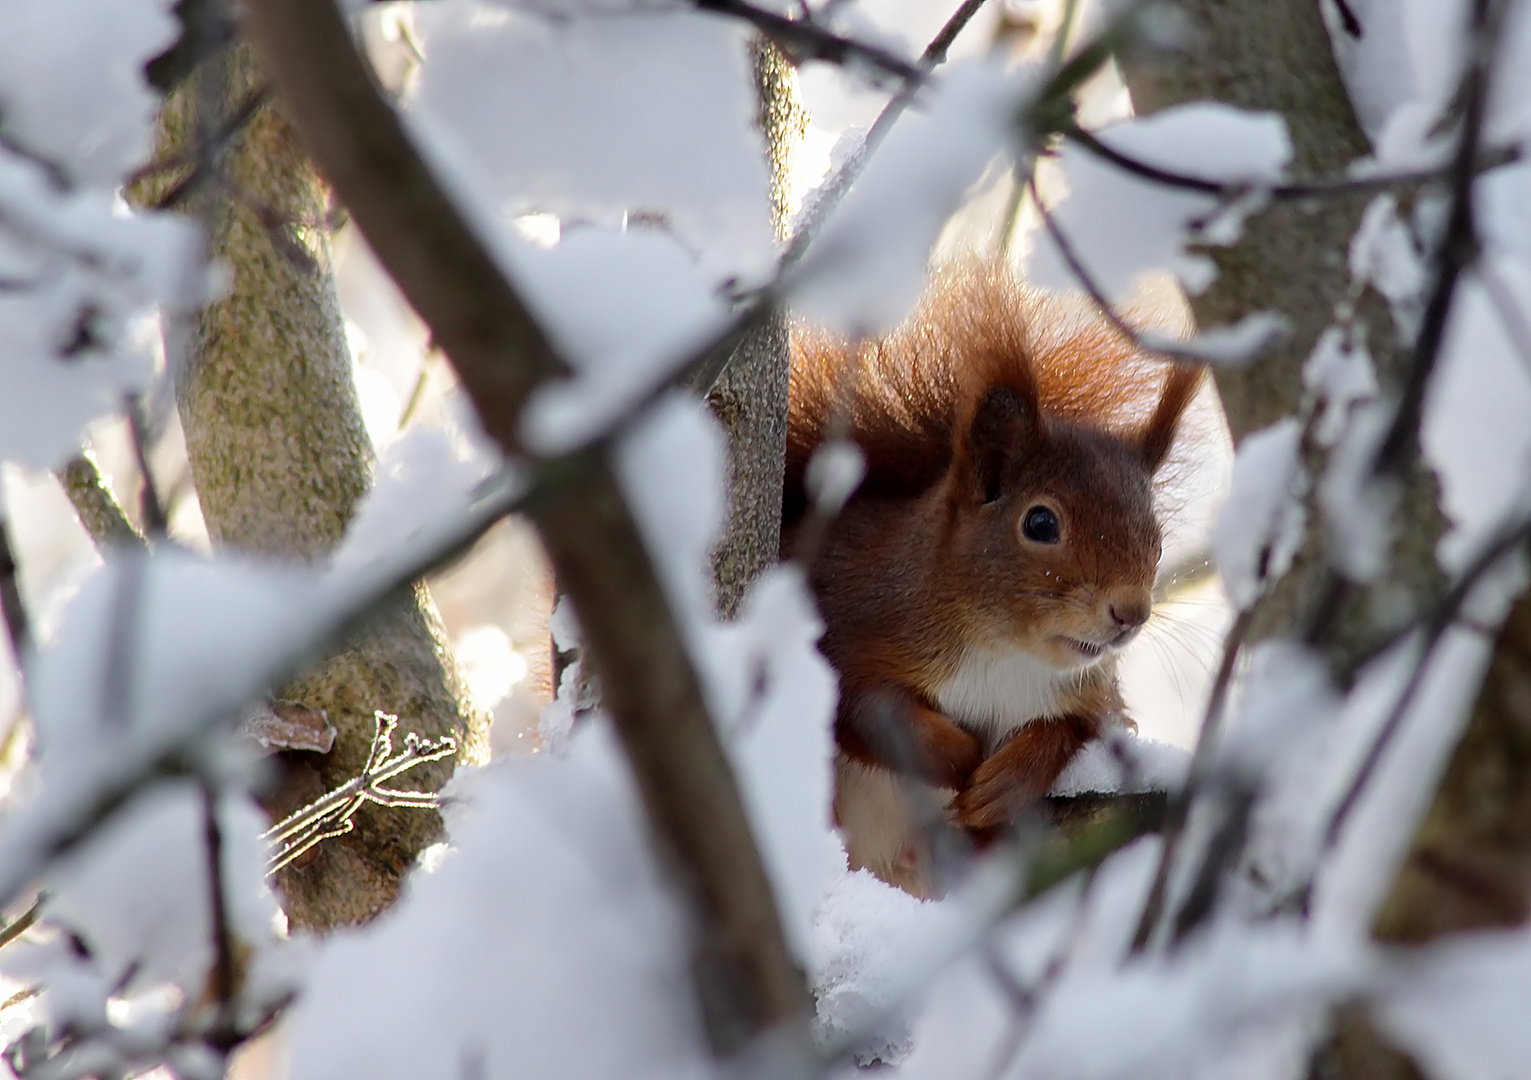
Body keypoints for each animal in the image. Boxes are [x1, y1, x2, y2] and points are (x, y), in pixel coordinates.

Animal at [783, 260, 1200, 894]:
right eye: (1041, 522)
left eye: (1155, 534)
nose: (1131, 613)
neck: (1005, 653)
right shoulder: (850, 619)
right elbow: (866, 708)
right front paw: (966, 756)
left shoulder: (1092, 695)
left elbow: (1074, 731)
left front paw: (1005, 783)